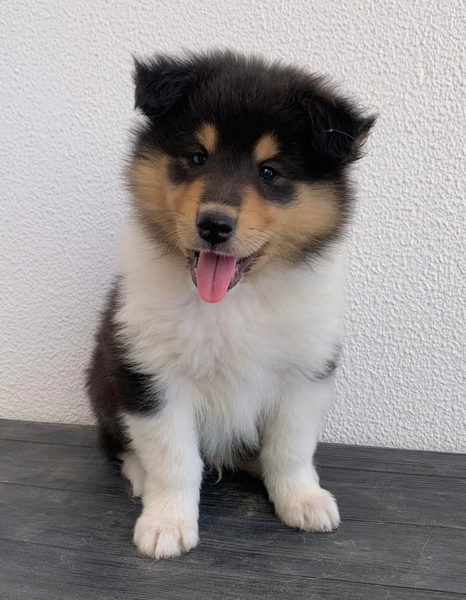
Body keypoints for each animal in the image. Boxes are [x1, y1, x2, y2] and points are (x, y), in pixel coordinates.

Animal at [87, 50, 375, 559]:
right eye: (196, 157)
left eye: (270, 171)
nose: (214, 225)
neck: (231, 302)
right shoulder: (150, 373)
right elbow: (174, 459)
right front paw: (166, 525)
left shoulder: (304, 371)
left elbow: (291, 447)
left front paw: (302, 500)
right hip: (104, 380)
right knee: (119, 443)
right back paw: (140, 475)